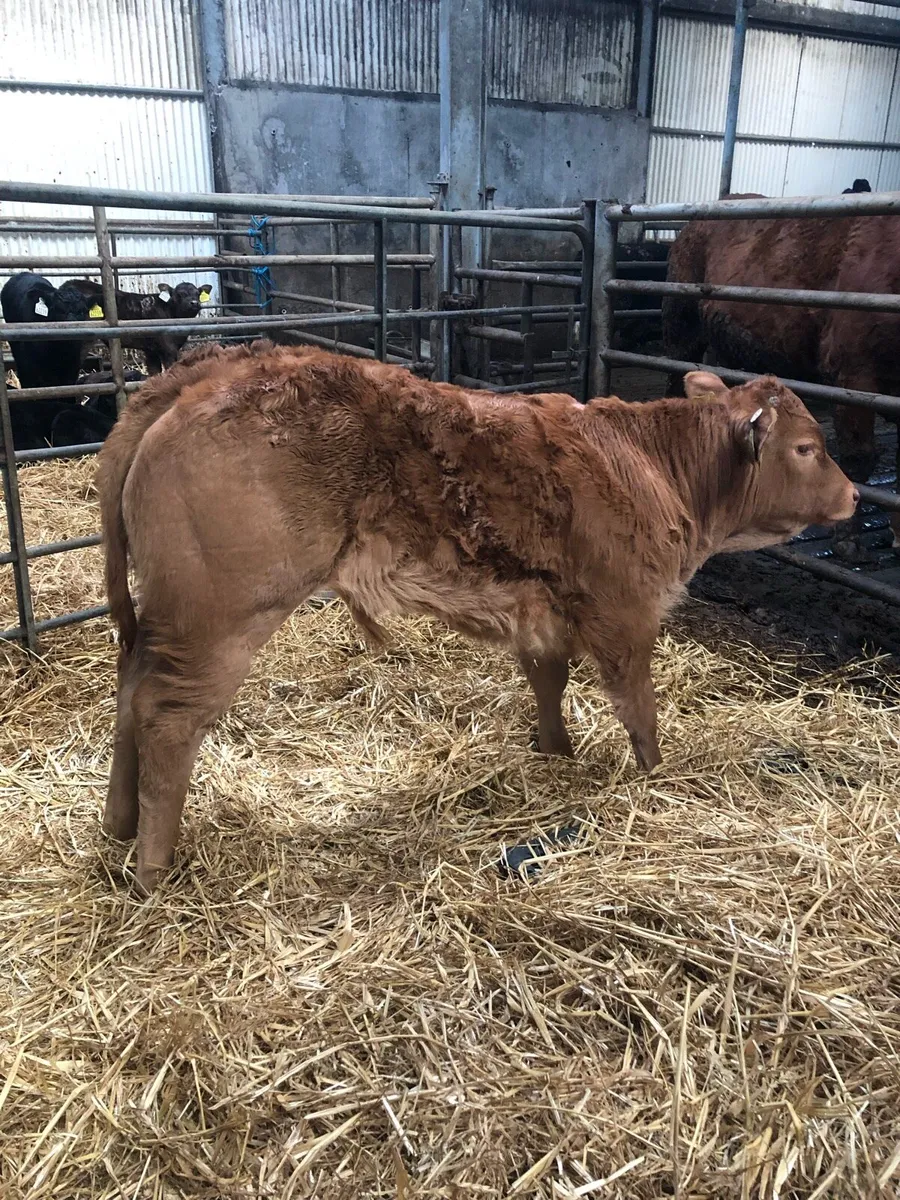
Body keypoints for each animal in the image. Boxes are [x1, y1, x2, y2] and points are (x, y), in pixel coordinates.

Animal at [64, 280, 212, 375]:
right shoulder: (168, 349)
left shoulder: (151, 350)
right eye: (179, 294)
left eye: (197, 294)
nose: (194, 303)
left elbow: (154, 372)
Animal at [95, 341, 857, 893]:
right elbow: (639, 710)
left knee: (130, 693)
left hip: (166, 618)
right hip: (220, 617)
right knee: (167, 717)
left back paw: (117, 828)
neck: (654, 465)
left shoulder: (542, 610)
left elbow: (548, 681)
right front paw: (656, 780)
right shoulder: (627, 611)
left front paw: (555, 754)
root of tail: (203, 371)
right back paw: (155, 869)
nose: (852, 496)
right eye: (807, 448)